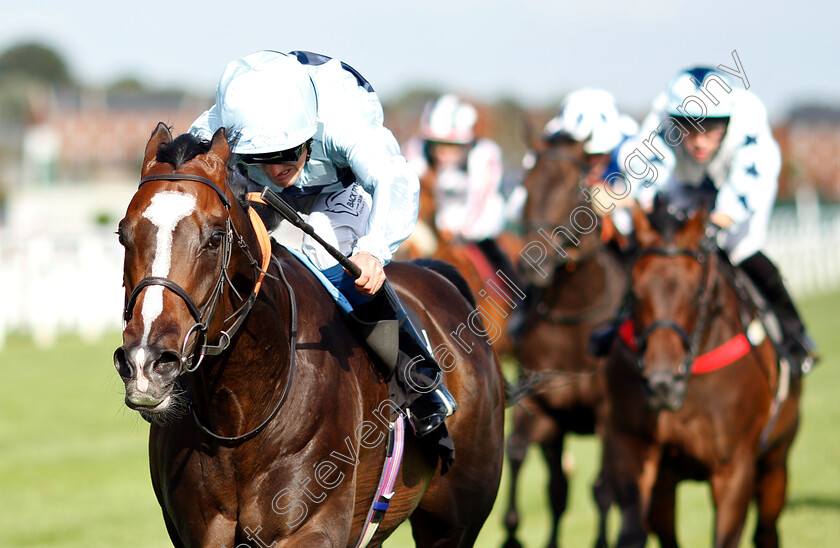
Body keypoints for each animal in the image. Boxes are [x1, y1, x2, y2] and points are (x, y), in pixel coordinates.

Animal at [498, 136, 624, 548]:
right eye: (526, 184)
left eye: (575, 187)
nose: (531, 262)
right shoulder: (543, 408)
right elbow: (521, 456)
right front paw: (512, 533)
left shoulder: (608, 416)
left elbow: (603, 489)